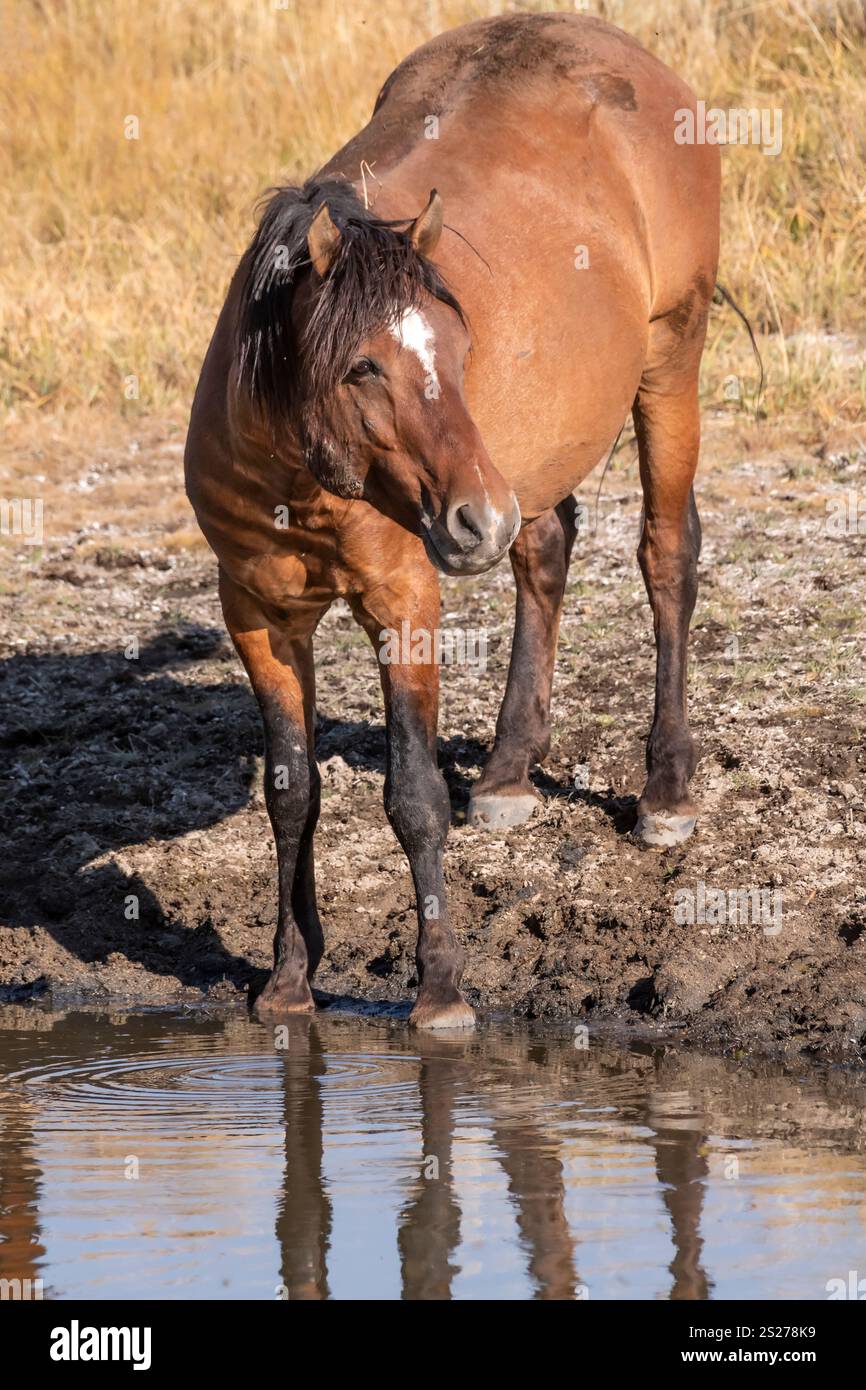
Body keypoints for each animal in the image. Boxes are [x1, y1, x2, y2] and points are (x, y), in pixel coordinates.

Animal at [185, 12, 720, 1029]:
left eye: (462, 346)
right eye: (361, 366)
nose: (476, 517)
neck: (299, 475)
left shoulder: (404, 600)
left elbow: (414, 795)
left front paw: (439, 991)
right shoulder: (259, 614)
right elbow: (291, 792)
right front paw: (286, 980)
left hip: (671, 356)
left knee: (667, 555)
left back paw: (666, 790)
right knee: (544, 552)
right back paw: (509, 772)